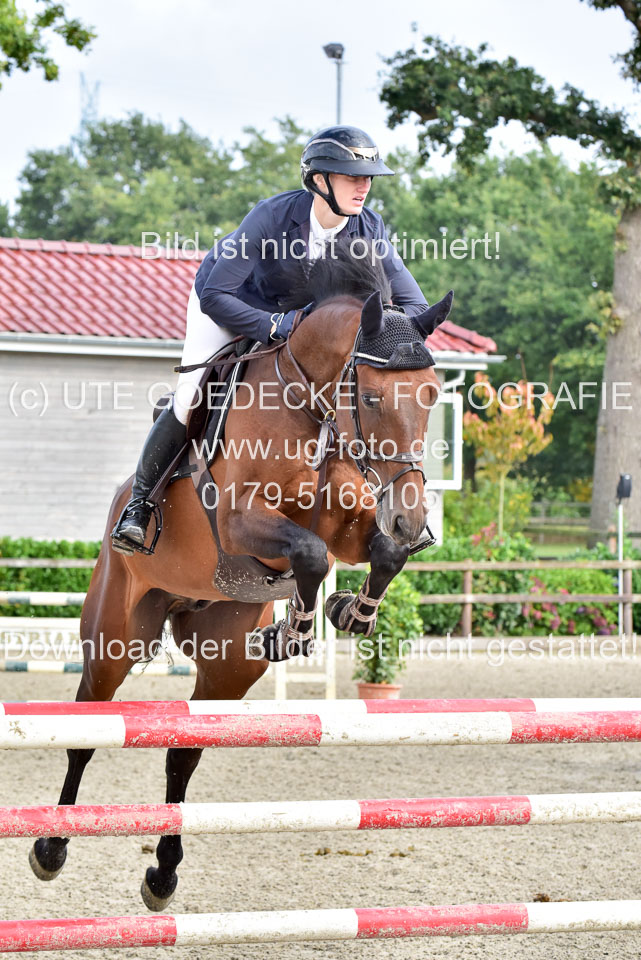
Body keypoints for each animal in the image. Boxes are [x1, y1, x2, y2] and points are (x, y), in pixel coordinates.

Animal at [28, 243, 453, 910]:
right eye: (374, 399)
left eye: (433, 396)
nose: (410, 517)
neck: (313, 407)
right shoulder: (239, 524)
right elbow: (310, 553)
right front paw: (299, 626)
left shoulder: (351, 523)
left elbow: (377, 555)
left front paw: (344, 613)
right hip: (114, 636)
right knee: (87, 729)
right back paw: (51, 847)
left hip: (225, 657)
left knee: (184, 754)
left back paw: (163, 874)